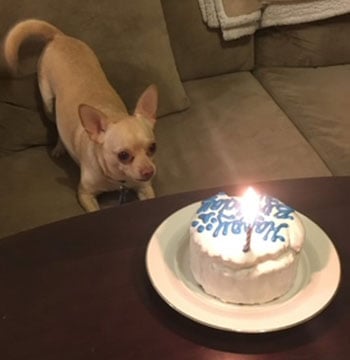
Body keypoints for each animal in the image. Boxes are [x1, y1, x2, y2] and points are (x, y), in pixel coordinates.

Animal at [3, 19, 157, 211]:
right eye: (123, 155)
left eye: (153, 148)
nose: (149, 171)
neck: (119, 181)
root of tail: (59, 37)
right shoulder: (85, 195)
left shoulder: (145, 189)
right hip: (48, 104)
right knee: (56, 126)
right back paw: (59, 147)